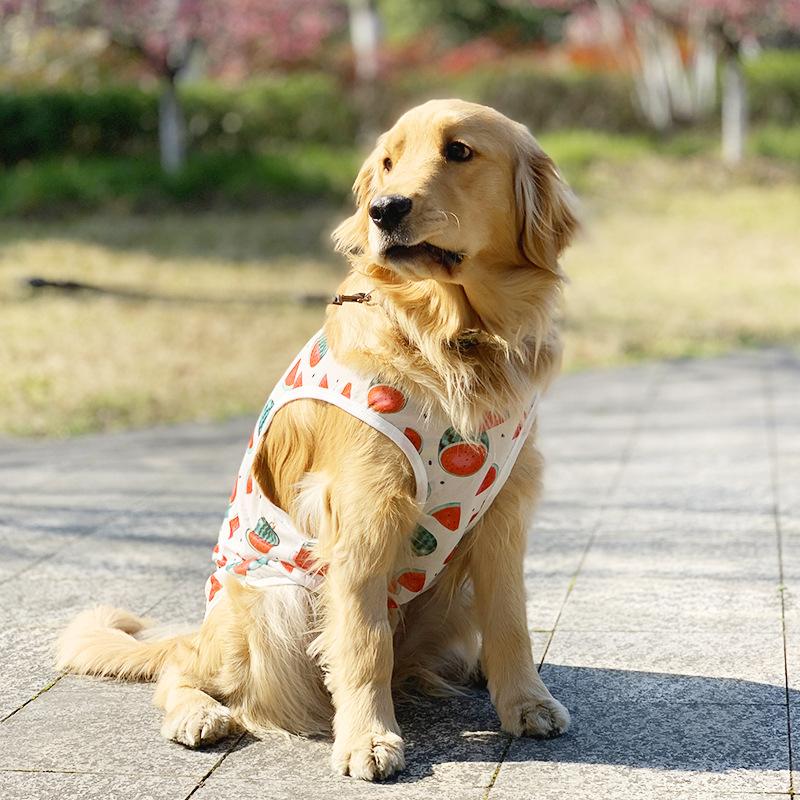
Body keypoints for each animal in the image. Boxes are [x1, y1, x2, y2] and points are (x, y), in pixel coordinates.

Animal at [59, 100, 580, 780]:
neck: (450, 337)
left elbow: (511, 620)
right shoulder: (364, 510)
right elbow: (363, 645)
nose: (385, 209)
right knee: (185, 668)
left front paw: (525, 702)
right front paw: (367, 739)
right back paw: (197, 715)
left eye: (459, 152)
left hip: (445, 590)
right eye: (387, 162)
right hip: (273, 601)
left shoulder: (505, 507)